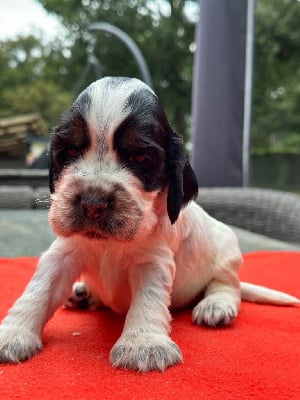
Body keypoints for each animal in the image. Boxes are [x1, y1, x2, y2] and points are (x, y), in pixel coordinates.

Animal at [0, 77, 298, 372]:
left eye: (141, 158)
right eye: (71, 151)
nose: (93, 203)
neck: (109, 244)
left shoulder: (152, 261)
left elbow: (148, 297)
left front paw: (143, 343)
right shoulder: (63, 252)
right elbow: (39, 289)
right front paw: (13, 332)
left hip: (227, 249)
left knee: (227, 285)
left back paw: (215, 305)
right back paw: (84, 294)